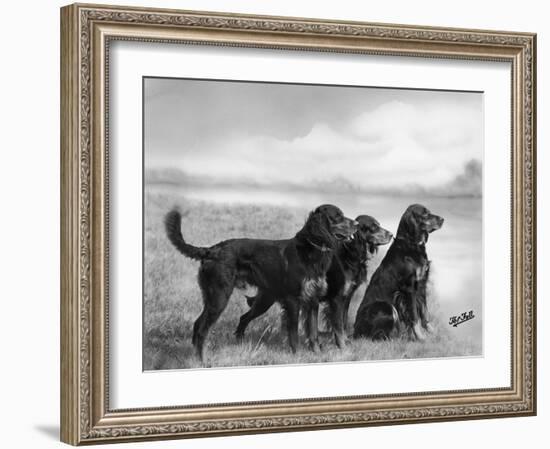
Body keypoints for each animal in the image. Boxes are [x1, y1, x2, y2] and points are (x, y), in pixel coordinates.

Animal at [165, 205, 358, 358]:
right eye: (338, 216)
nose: (356, 225)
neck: (310, 251)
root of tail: (211, 250)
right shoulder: (293, 300)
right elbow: (294, 332)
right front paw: (296, 355)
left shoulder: (312, 300)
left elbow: (313, 332)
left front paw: (317, 354)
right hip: (219, 296)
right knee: (202, 328)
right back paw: (201, 359)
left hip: (260, 299)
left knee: (216, 321)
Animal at [236, 214, 392, 346]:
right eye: (373, 227)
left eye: (378, 224)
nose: (391, 234)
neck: (349, 254)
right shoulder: (336, 298)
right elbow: (338, 324)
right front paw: (341, 344)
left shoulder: (346, 297)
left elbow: (343, 321)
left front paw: (345, 341)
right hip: (267, 299)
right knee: (245, 317)